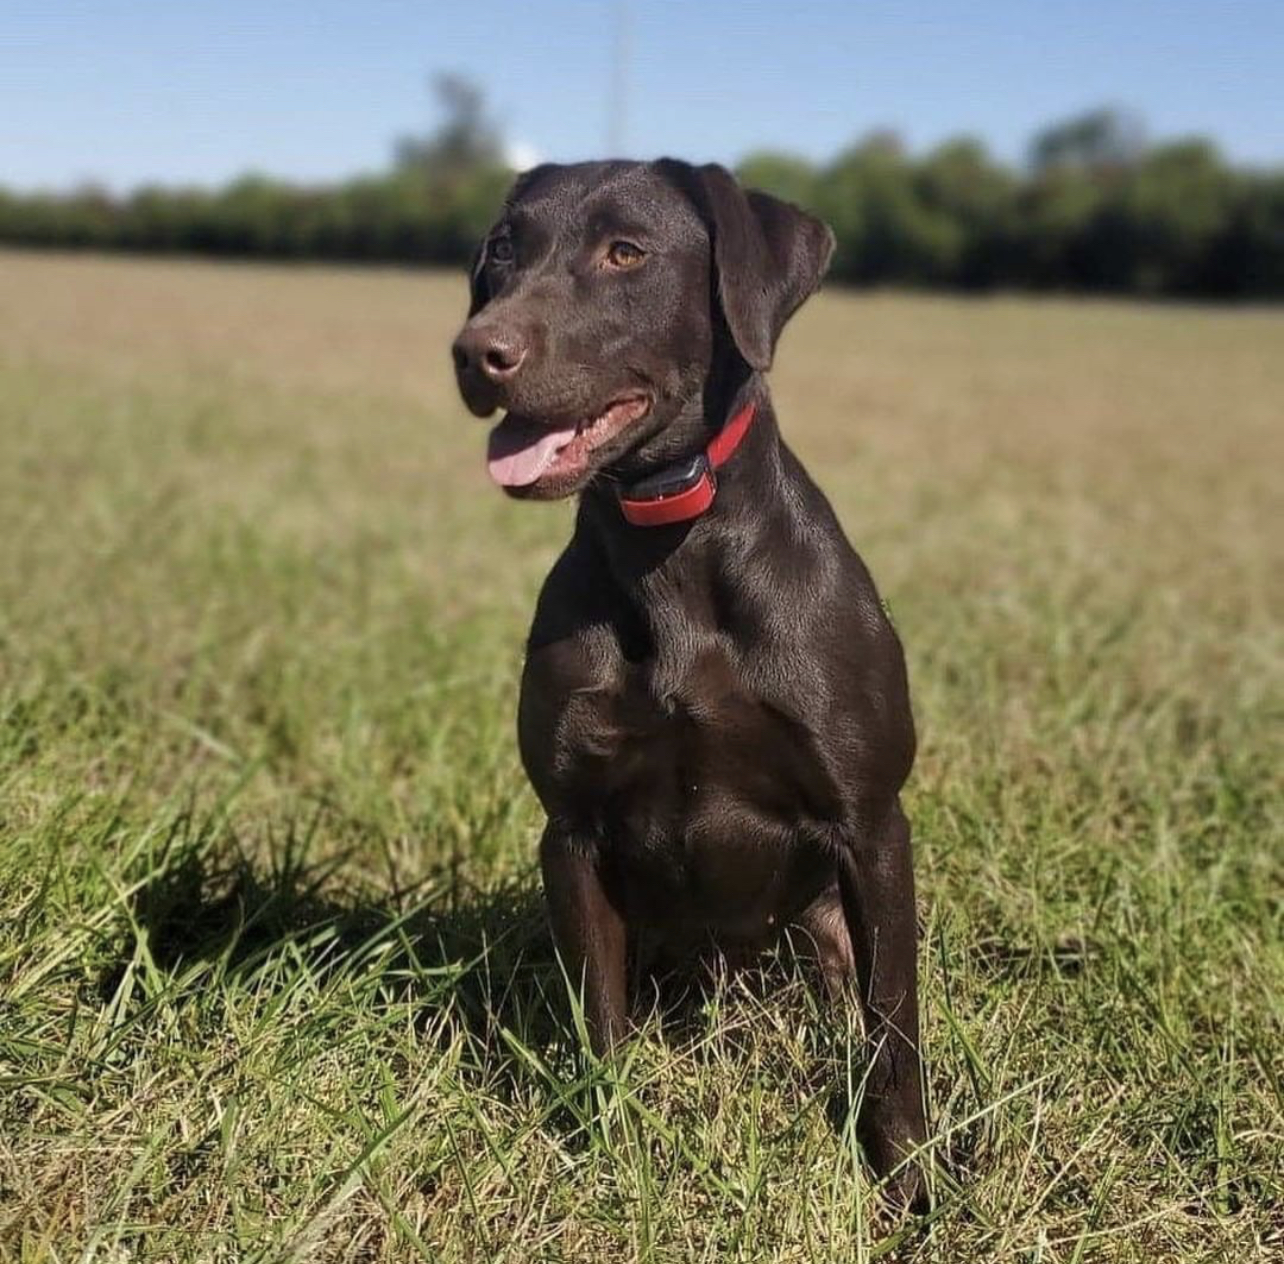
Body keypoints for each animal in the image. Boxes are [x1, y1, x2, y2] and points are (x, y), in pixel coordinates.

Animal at [457, 163, 929, 1207]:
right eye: (502, 249)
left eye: (626, 252)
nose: (476, 353)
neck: (673, 546)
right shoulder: (574, 830)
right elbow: (599, 1018)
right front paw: (608, 1147)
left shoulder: (872, 824)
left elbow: (894, 1028)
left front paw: (912, 1178)